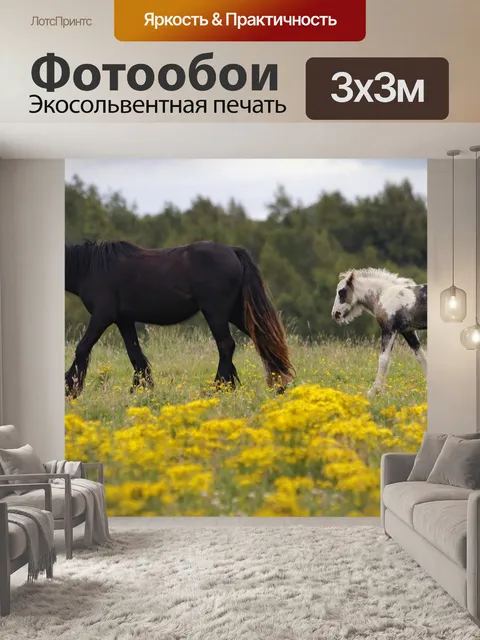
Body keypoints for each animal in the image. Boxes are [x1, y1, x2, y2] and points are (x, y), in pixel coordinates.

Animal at [65, 239, 295, 398]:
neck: (91, 268)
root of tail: (233, 251)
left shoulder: (102, 315)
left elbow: (82, 348)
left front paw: (71, 389)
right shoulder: (124, 320)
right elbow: (135, 355)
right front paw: (142, 389)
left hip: (216, 311)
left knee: (226, 345)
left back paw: (218, 388)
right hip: (236, 312)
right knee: (263, 339)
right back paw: (279, 384)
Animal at [331, 268, 427, 397]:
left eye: (341, 292)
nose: (335, 314)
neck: (384, 295)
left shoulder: (389, 330)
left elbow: (383, 360)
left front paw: (373, 391)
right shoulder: (408, 332)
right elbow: (421, 357)